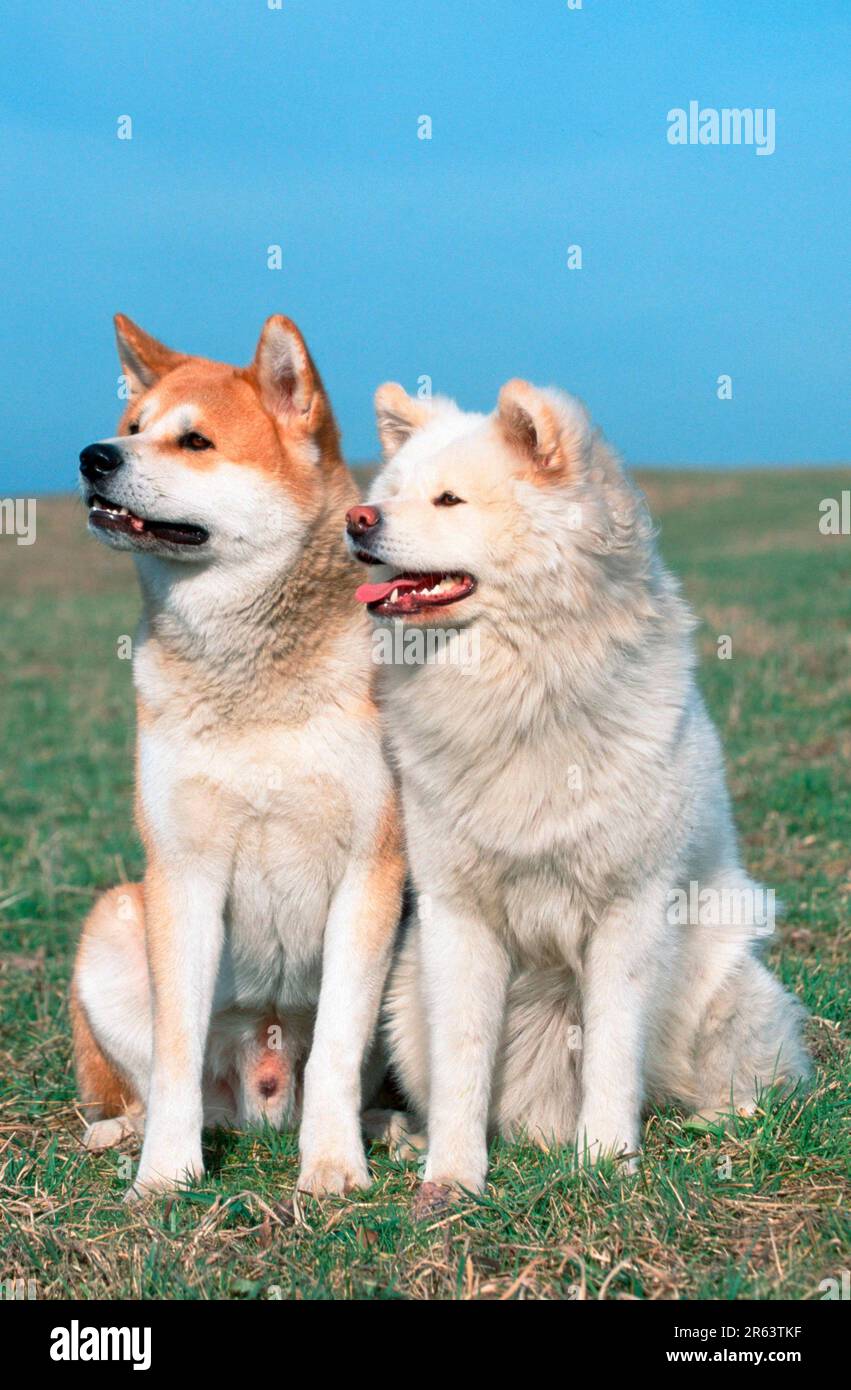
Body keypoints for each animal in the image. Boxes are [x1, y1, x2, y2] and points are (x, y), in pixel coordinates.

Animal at [346, 378, 812, 1195]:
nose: (357, 520)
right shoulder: (457, 916)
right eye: (389, 495)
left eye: (448, 500)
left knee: (736, 1086)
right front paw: (454, 1177)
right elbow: (464, 1059)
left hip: (730, 986)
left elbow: (611, 1053)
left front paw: (606, 1160)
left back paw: (716, 1128)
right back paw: (409, 1137)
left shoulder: (630, 912)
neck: (523, 691)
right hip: (403, 995)